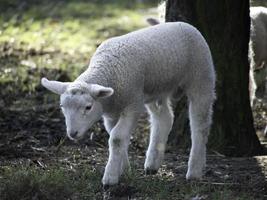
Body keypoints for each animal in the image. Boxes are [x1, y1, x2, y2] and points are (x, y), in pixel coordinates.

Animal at [42, 21, 218, 186]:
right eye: (62, 107)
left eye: (88, 107)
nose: (72, 134)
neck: (109, 70)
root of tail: (185, 24)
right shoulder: (111, 113)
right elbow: (117, 135)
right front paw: (124, 169)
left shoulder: (132, 106)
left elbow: (117, 138)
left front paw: (110, 177)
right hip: (156, 90)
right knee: (164, 119)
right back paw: (152, 163)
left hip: (201, 77)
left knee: (200, 124)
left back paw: (194, 171)